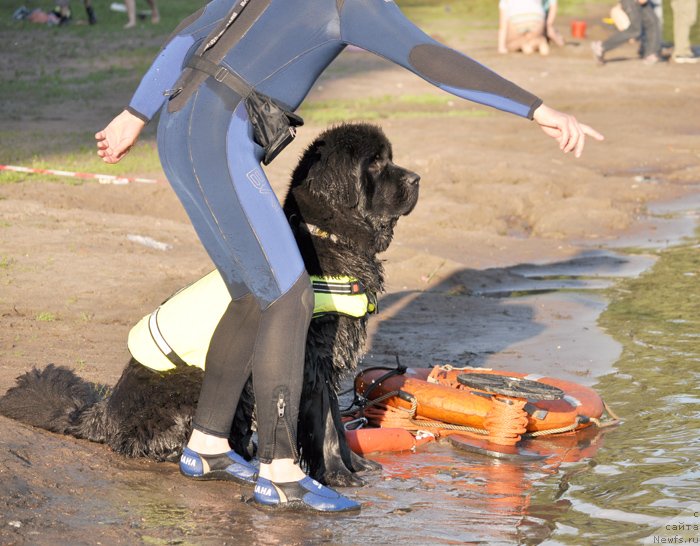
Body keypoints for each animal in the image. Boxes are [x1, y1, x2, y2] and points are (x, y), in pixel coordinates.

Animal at [0, 122, 422, 484]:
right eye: (376, 163)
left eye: (389, 158)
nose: (416, 179)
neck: (330, 237)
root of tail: (102, 414)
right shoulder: (311, 361)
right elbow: (327, 426)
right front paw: (337, 476)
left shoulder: (330, 361)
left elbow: (335, 418)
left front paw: (357, 466)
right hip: (194, 381)